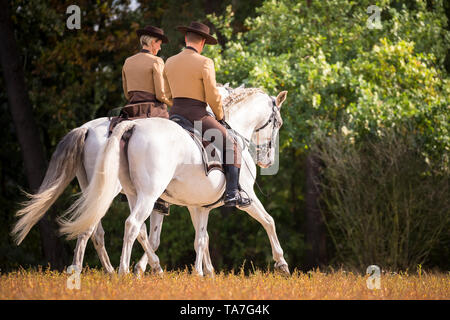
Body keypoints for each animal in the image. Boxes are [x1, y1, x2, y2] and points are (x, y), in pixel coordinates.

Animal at [59, 87, 288, 276]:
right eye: (278, 123)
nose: (268, 161)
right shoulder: (247, 196)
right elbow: (269, 221)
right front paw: (281, 263)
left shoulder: (198, 206)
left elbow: (200, 239)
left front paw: (204, 273)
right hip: (142, 195)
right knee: (128, 225)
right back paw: (119, 272)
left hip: (122, 194)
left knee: (99, 228)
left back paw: (95, 270)